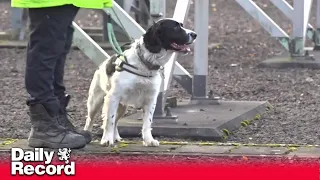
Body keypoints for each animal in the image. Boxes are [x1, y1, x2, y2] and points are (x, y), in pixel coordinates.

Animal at [84, 18, 196, 147]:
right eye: (175, 27)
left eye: (181, 25)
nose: (195, 34)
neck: (146, 63)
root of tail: (103, 64)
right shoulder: (113, 97)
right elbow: (109, 120)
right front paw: (107, 139)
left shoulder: (150, 99)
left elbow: (147, 123)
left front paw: (149, 140)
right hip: (95, 102)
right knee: (90, 120)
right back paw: (87, 134)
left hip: (122, 107)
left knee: (116, 120)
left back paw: (116, 137)